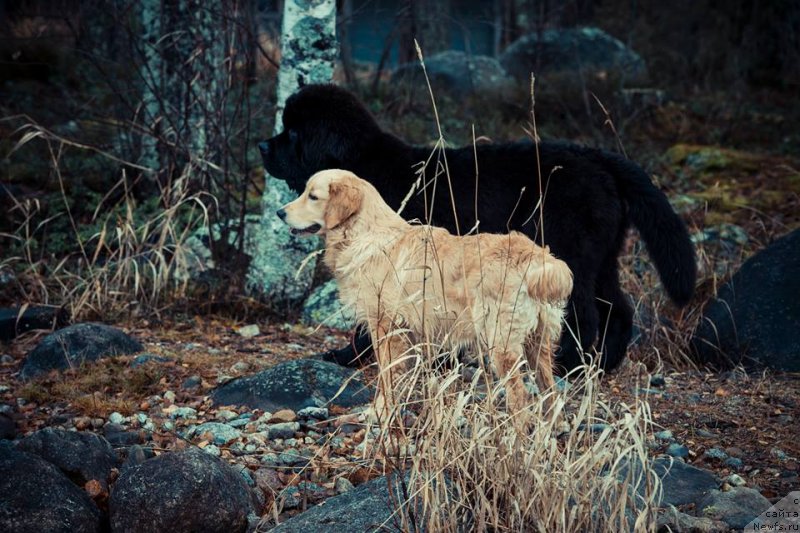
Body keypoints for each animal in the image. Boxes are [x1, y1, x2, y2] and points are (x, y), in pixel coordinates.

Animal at [260, 85, 696, 372]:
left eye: (294, 133)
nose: (262, 146)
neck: (367, 164)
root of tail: (602, 159)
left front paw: (351, 356)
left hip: (570, 251)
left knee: (584, 314)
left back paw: (570, 365)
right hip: (602, 257)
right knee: (618, 309)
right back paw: (604, 364)